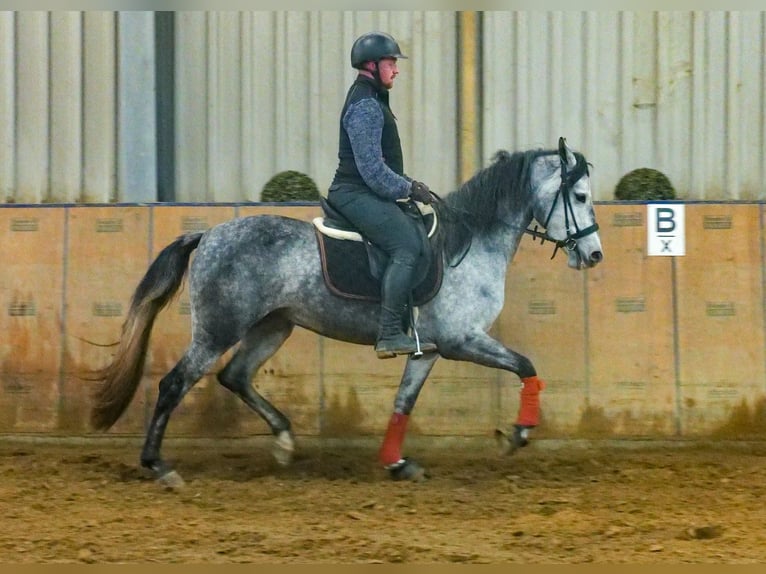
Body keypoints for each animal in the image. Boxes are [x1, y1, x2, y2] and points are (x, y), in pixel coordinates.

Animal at [91, 138, 608, 486]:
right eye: (580, 197)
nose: (595, 255)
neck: (470, 242)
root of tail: (208, 234)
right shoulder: (463, 340)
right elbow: (526, 366)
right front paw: (517, 434)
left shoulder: (429, 350)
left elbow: (403, 402)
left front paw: (397, 462)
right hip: (219, 329)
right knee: (175, 384)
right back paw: (160, 466)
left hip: (272, 326)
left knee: (234, 376)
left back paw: (284, 441)